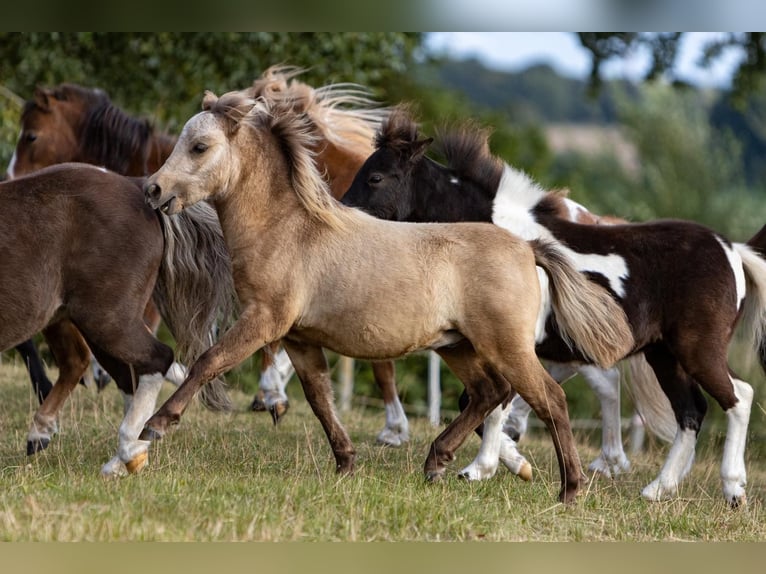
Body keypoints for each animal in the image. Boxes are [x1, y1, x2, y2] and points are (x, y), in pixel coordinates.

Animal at [0, 163, 236, 476]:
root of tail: (138, 188)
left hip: (107, 318)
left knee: (156, 359)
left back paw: (130, 448)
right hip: (87, 321)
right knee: (124, 376)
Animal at [139, 89, 634, 504]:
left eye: (199, 146)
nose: (153, 189)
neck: (289, 229)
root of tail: (528, 248)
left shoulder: (264, 320)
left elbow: (208, 361)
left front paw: (155, 426)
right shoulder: (299, 338)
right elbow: (319, 397)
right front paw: (346, 461)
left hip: (506, 347)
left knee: (548, 399)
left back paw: (570, 488)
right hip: (458, 346)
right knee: (487, 393)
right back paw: (437, 461)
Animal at [341, 108, 765, 507]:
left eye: (375, 177)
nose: (345, 216)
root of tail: (732, 250)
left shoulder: (511, 342)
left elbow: (494, 401)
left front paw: (487, 466)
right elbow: (492, 402)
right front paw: (506, 463)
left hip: (698, 349)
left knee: (739, 396)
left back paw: (733, 489)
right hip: (663, 355)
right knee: (691, 412)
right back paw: (657, 489)